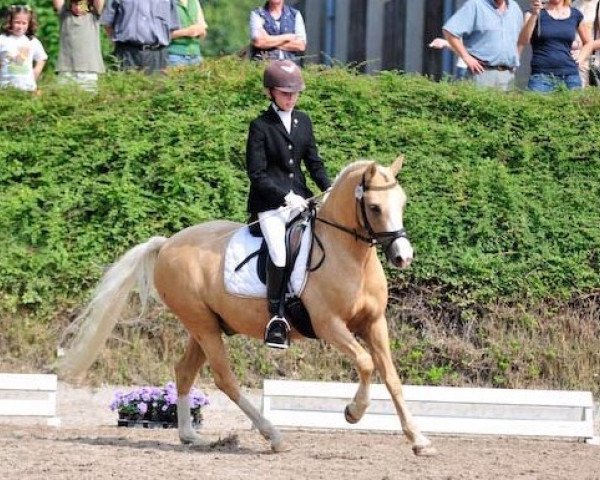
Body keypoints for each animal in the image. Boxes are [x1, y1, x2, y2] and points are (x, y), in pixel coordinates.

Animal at [59, 157, 436, 454]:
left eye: (402, 203)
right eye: (374, 208)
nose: (403, 257)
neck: (349, 255)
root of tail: (167, 244)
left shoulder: (374, 323)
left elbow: (391, 377)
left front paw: (418, 440)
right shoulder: (329, 325)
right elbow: (366, 364)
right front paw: (353, 413)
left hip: (204, 326)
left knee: (184, 372)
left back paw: (190, 436)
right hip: (203, 326)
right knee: (225, 379)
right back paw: (274, 436)